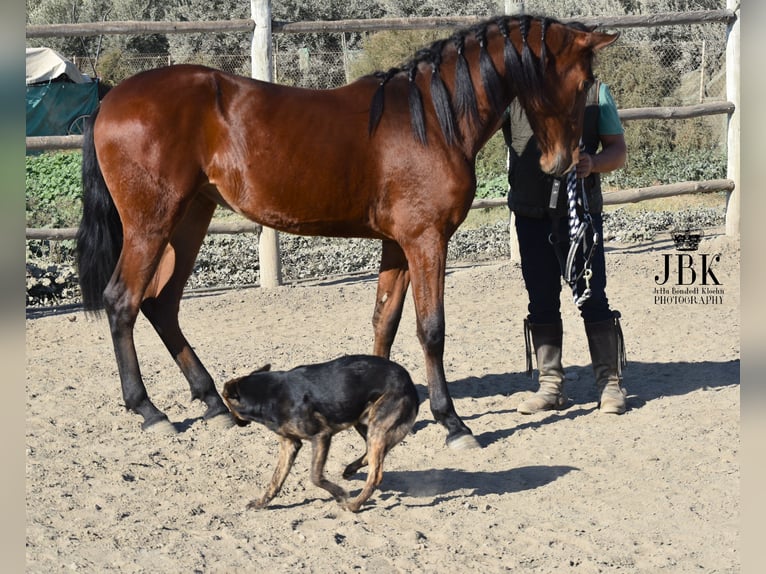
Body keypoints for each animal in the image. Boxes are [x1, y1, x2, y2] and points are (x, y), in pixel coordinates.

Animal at [76, 14, 616, 450]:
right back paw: (149, 411)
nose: (562, 163)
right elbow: (431, 329)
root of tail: (110, 100)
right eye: (583, 80)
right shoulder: (426, 239)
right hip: (151, 223)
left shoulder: (398, 244)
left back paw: (211, 401)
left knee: (161, 304)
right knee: (123, 301)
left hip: (191, 217)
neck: (430, 120)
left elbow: (386, 322)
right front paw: (452, 423)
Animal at [222, 356, 420, 512]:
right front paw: (261, 503)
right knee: (371, 454)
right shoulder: (289, 444)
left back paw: (354, 505)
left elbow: (315, 476)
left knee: (376, 473)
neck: (268, 394)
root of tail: (408, 379)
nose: (234, 422)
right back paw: (350, 470)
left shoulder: (321, 436)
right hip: (364, 422)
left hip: (377, 427)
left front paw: (340, 494)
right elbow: (276, 479)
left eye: (227, 403)